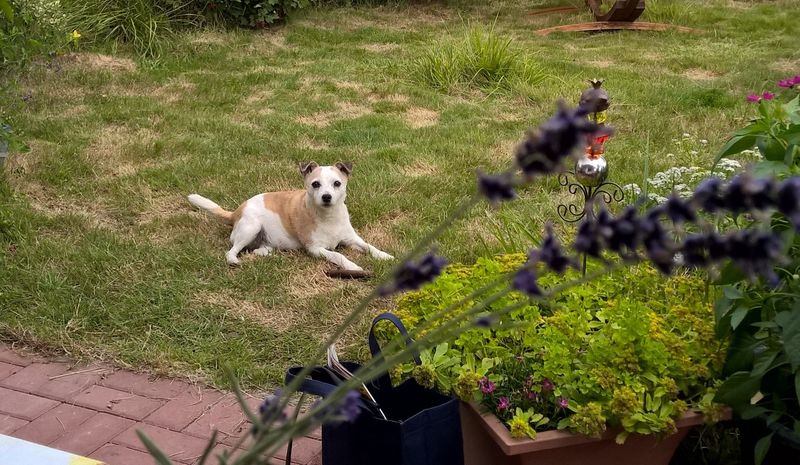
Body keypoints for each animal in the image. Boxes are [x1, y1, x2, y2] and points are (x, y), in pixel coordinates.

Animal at [187, 161, 394, 270]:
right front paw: (353, 266)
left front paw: (384, 256)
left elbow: (369, 246)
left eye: (337, 183)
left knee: (257, 249)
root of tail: (236, 212)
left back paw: (264, 253)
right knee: (231, 250)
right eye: (315, 184)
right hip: (251, 227)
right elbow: (338, 255)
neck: (328, 217)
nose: (326, 197)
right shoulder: (315, 249)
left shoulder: (352, 239)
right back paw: (233, 260)